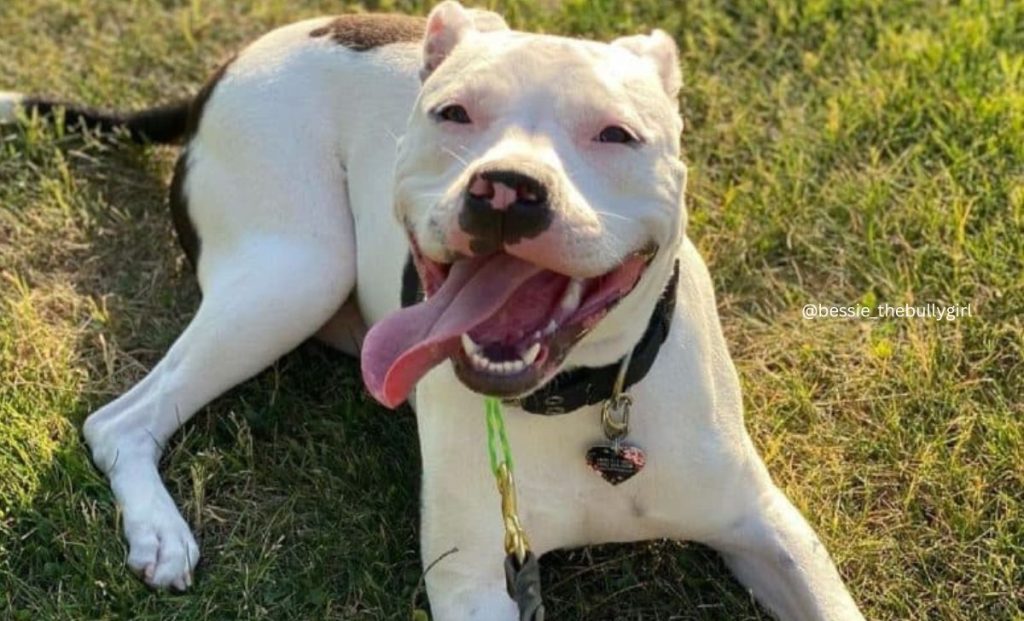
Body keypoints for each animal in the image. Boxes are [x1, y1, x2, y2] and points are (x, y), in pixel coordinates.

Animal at [0, 2, 864, 618]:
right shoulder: (477, 575)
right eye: (454, 114)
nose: (507, 188)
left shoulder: (770, 529)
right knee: (119, 420)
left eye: (616, 133)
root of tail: (228, 66)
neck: (585, 404)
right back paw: (159, 530)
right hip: (294, 270)